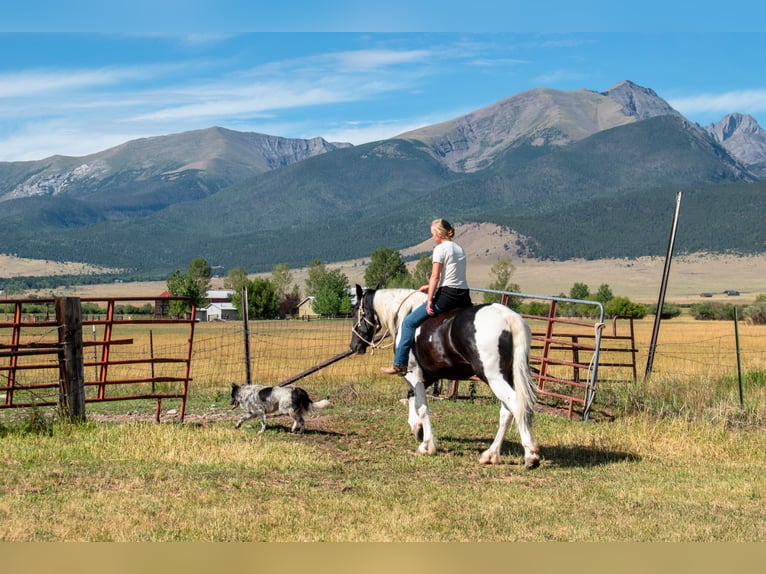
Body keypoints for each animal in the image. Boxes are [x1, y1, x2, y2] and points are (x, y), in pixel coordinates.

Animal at [350, 284, 540, 468]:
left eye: (355, 311)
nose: (354, 346)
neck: (406, 313)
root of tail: (507, 316)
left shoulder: (413, 373)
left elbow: (422, 406)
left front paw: (427, 444)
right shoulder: (429, 376)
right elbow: (411, 397)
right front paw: (417, 428)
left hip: (494, 378)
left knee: (516, 405)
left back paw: (531, 455)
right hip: (506, 376)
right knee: (507, 412)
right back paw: (491, 454)